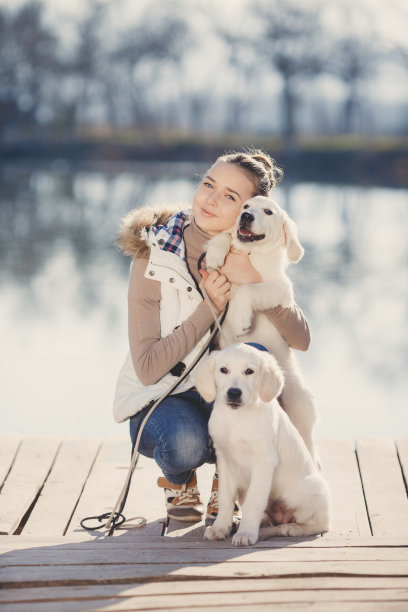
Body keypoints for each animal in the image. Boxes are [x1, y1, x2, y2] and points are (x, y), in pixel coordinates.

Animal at [193, 342, 330, 548]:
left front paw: (246, 533)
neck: (237, 419)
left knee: (321, 524)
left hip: (309, 490)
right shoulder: (224, 460)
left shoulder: (264, 461)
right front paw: (220, 528)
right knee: (270, 521)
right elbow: (225, 498)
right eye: (223, 370)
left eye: (249, 371)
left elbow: (254, 500)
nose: (234, 393)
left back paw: (292, 528)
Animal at [206, 198, 318, 466]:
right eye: (245, 206)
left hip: (301, 411)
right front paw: (214, 253)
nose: (246, 216)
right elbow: (225, 235)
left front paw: (241, 320)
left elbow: (249, 290)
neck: (252, 254)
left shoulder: (279, 289)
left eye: (268, 212)